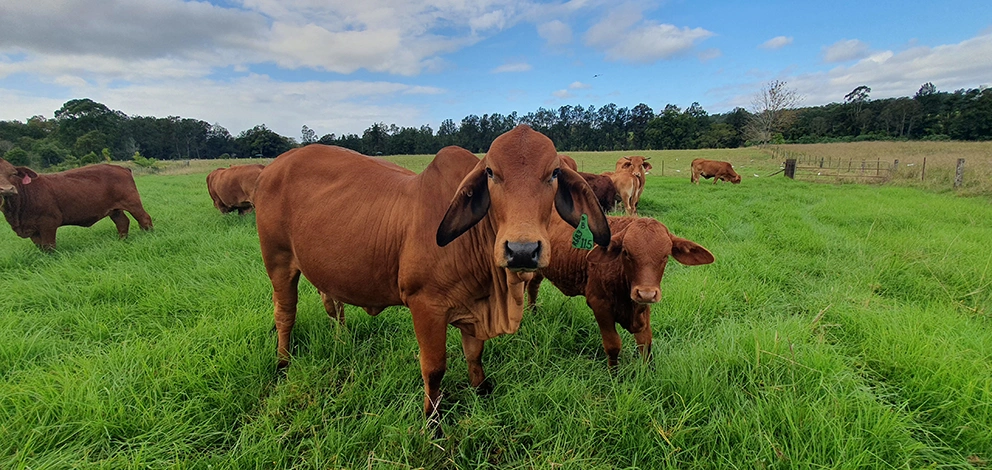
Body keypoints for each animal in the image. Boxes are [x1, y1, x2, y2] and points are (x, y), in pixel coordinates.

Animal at [0, 159, 153, 251]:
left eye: (13, 173)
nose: (7, 189)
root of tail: (122, 168)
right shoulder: (33, 229)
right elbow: (42, 248)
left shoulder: (48, 223)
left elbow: (49, 247)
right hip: (115, 209)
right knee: (122, 222)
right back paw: (121, 241)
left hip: (132, 202)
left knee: (144, 218)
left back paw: (149, 236)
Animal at [253, 125, 610, 423]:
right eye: (491, 173)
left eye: (554, 173)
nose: (522, 250)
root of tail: (273, 166)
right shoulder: (425, 306)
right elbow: (434, 368)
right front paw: (432, 421)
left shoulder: (475, 306)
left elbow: (474, 355)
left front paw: (481, 391)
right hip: (278, 262)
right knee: (285, 313)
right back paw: (283, 363)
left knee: (333, 306)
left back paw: (341, 341)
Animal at [527, 215, 713, 368]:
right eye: (626, 252)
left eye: (666, 256)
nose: (646, 293)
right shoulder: (599, 304)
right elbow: (613, 345)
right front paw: (614, 376)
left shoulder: (643, 308)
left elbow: (645, 343)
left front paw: (647, 374)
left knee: (533, 286)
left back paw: (533, 313)